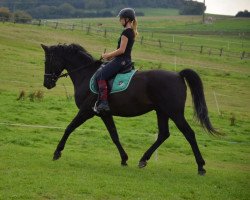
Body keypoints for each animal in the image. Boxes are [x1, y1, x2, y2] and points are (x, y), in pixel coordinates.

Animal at [41, 43, 217, 175]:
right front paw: (124, 159)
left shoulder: (86, 111)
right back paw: (143, 160)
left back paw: (201, 166)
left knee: (189, 134)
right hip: (162, 112)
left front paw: (57, 152)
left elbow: (69, 128)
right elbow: (114, 135)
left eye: (47, 61)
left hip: (175, 113)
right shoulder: (104, 114)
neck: (87, 74)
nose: (47, 84)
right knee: (163, 134)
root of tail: (178, 75)